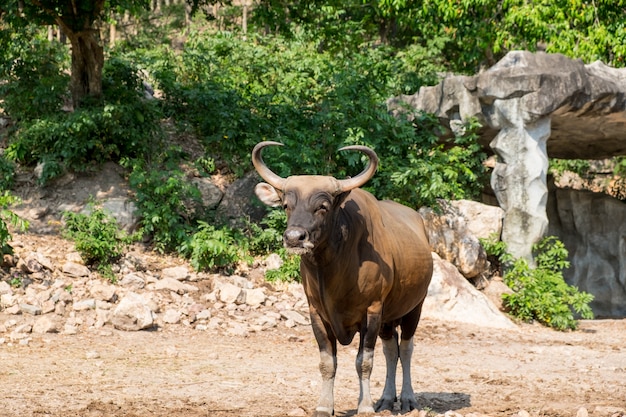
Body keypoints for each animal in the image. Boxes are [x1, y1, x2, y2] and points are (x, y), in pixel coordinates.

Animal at [251, 141, 432, 414]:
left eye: (322, 207)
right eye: (286, 205)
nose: (294, 238)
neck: (333, 274)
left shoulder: (372, 311)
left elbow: (364, 362)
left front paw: (365, 406)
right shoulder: (316, 312)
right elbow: (327, 362)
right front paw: (325, 405)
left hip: (414, 307)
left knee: (406, 348)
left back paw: (408, 398)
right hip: (389, 317)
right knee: (391, 349)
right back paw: (386, 398)